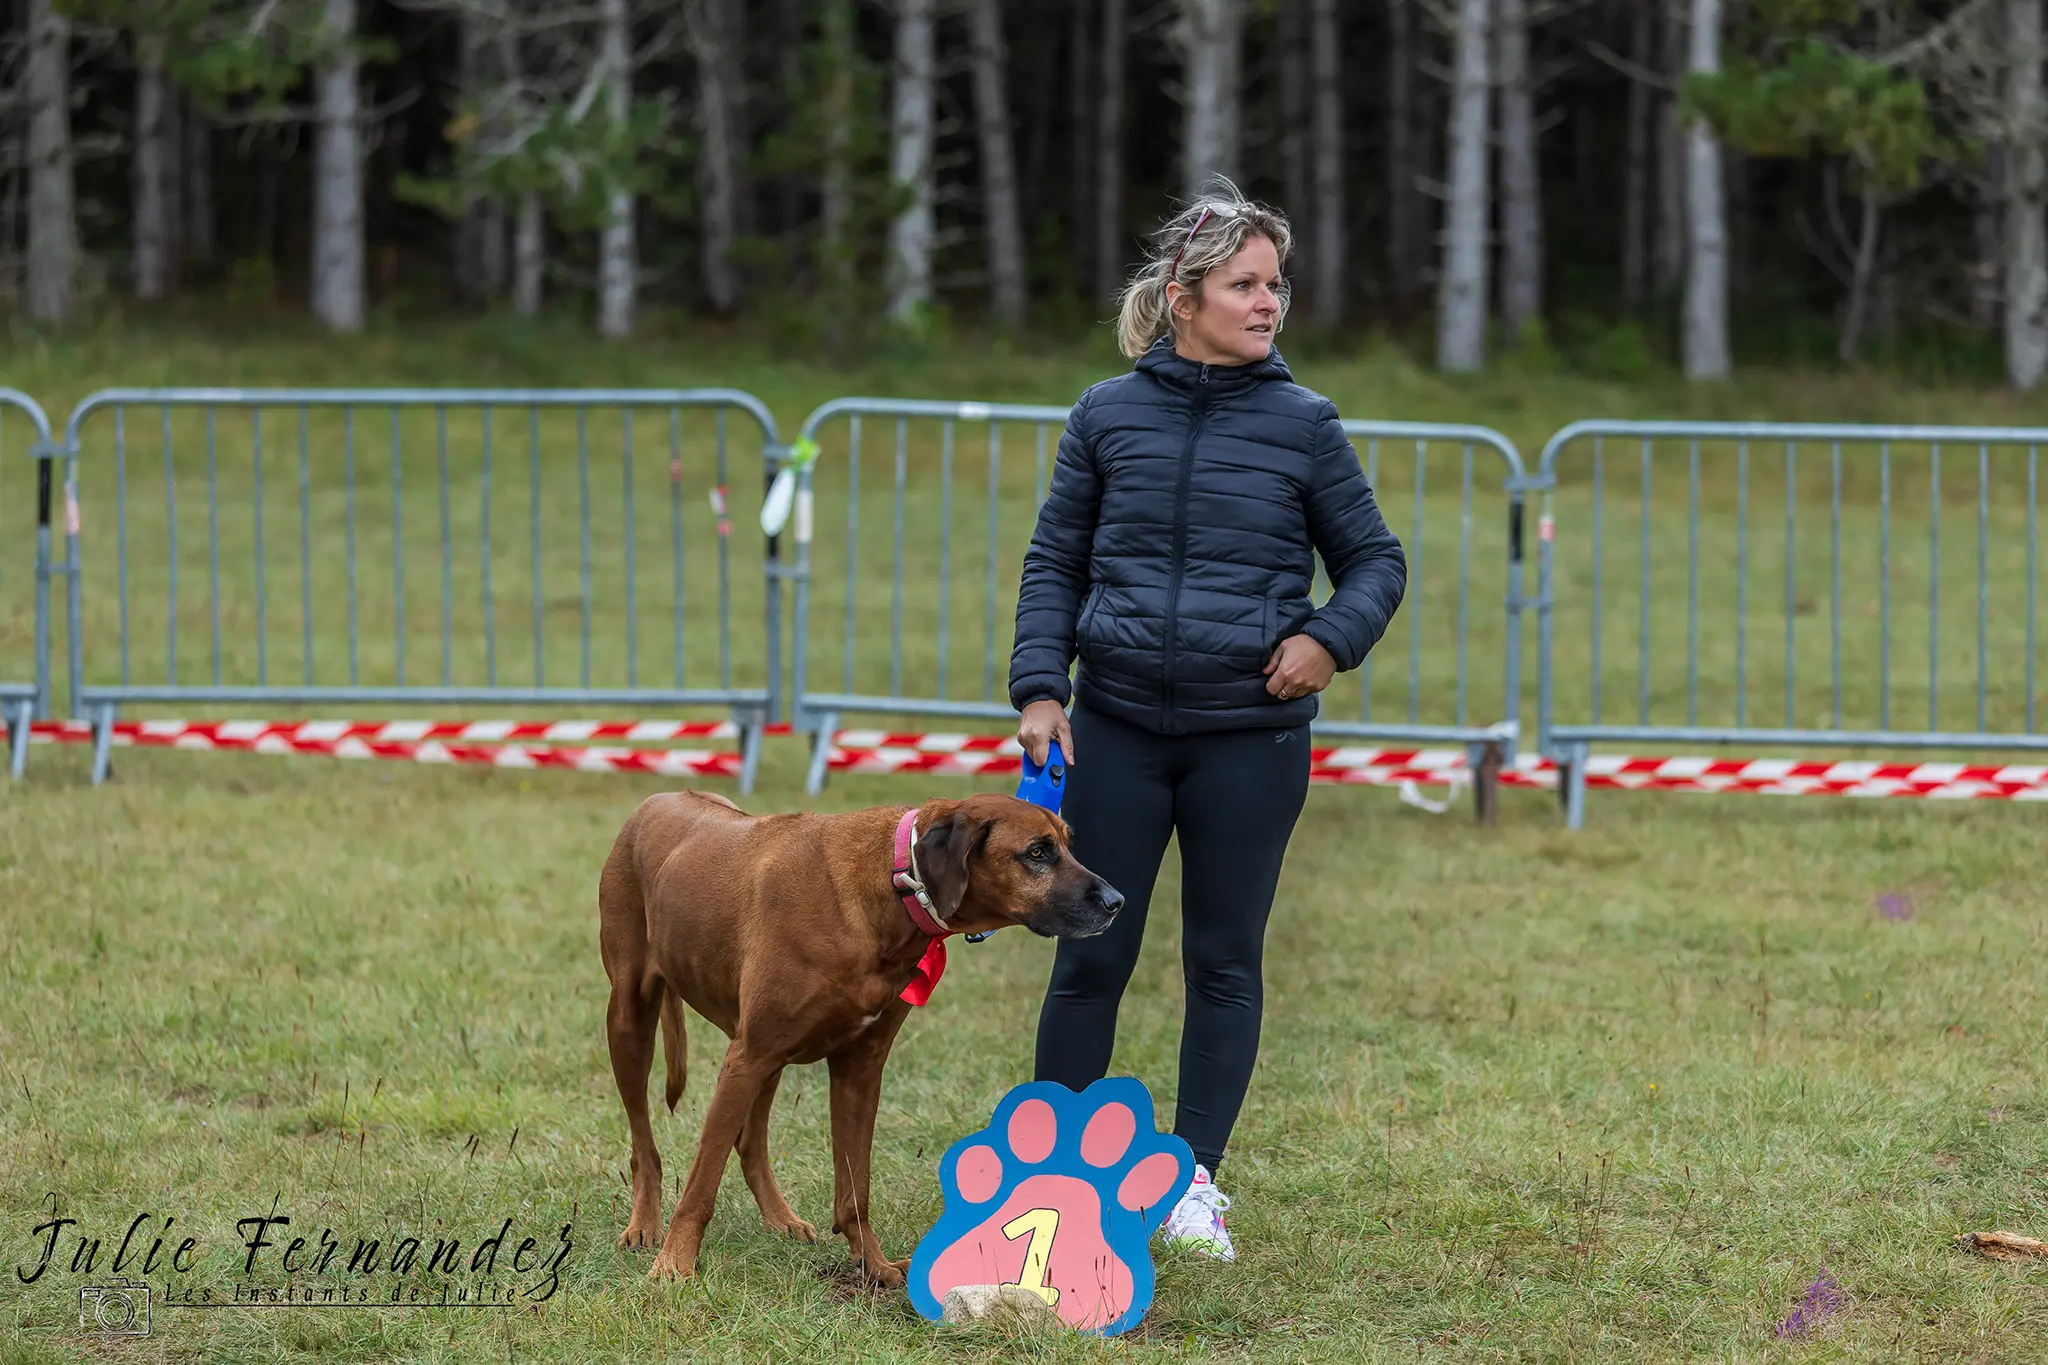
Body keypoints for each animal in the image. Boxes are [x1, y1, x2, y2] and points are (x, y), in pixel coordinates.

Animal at [598, 785, 1130, 1285]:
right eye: (1037, 853)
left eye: (1068, 845)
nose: (1117, 902)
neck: (896, 887)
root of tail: (660, 798)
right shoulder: (750, 1054)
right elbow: (701, 1184)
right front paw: (674, 1266)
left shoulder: (858, 1065)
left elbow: (855, 1189)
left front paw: (874, 1265)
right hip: (633, 1019)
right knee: (645, 1144)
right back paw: (644, 1225)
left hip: (764, 1057)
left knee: (749, 1143)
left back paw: (779, 1216)